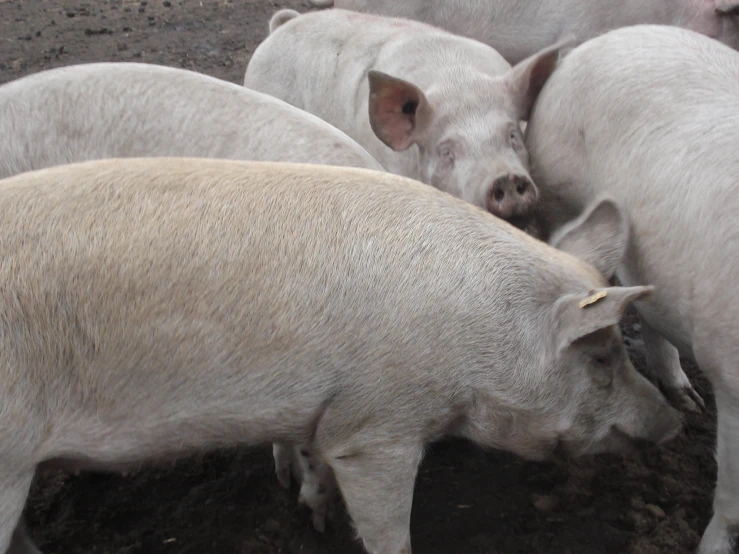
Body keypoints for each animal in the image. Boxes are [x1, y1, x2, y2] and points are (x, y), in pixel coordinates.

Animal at [0, 157, 684, 552]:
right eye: (600, 357)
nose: (676, 423)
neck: (482, 336)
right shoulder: (379, 425)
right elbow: (387, 528)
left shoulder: (326, 413)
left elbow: (316, 463)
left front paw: (317, 518)